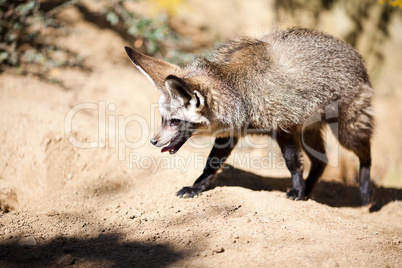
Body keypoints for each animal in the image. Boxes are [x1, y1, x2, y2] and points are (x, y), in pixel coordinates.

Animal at [125, 27, 374, 205]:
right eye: (162, 119)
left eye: (175, 121)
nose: (153, 141)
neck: (241, 91)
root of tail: (356, 55)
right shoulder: (231, 133)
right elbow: (211, 163)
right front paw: (197, 187)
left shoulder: (284, 128)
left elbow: (293, 164)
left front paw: (296, 190)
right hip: (310, 132)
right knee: (322, 162)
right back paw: (309, 192)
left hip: (346, 132)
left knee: (365, 153)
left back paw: (365, 192)